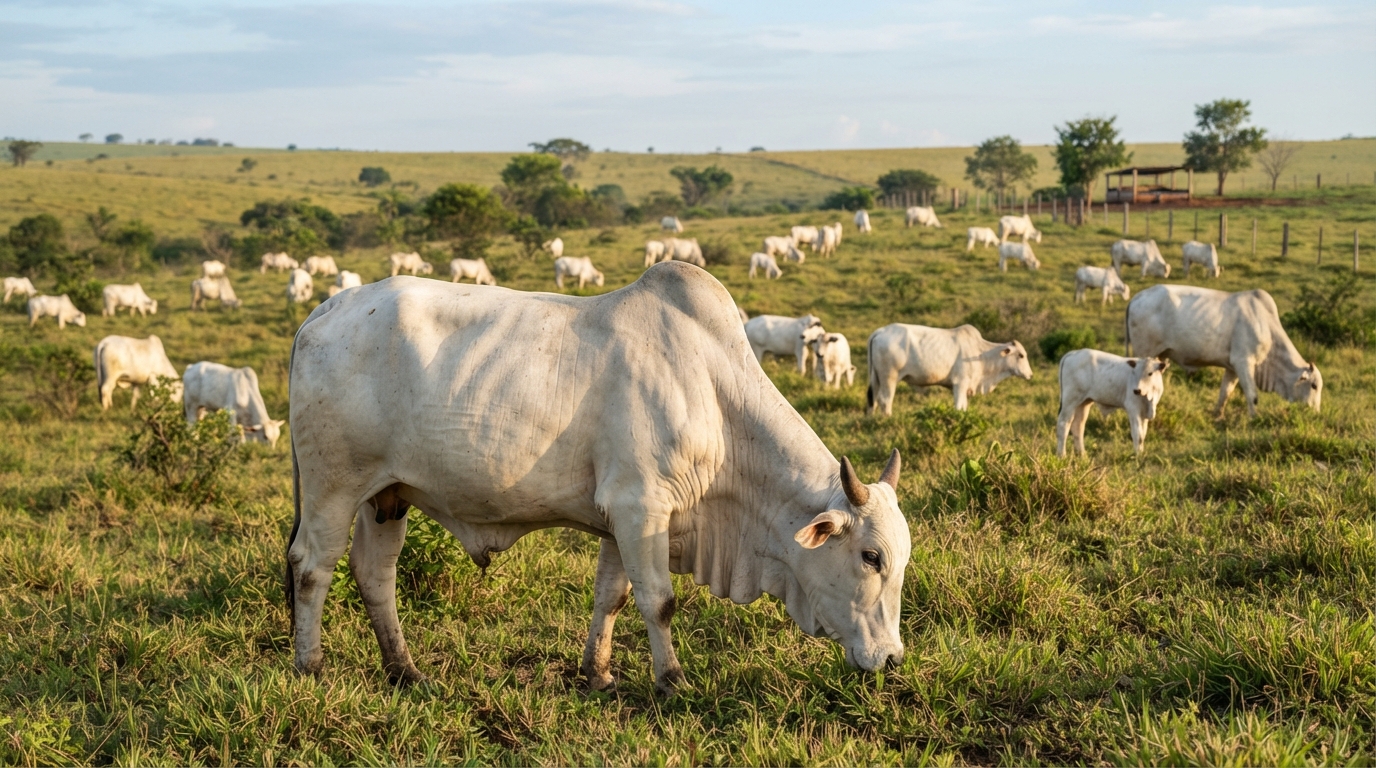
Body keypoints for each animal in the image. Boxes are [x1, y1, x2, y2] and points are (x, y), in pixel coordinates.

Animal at [285, 264, 910, 696]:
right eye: (871, 557)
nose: (892, 659)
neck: (714, 396)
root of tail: (325, 309)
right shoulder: (641, 506)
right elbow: (658, 601)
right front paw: (672, 680)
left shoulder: (622, 520)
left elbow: (612, 597)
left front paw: (599, 675)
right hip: (333, 487)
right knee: (311, 566)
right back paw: (311, 666)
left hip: (385, 496)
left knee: (375, 574)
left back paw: (404, 670)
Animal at [866, 324, 1033, 415]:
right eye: (1021, 355)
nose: (1030, 375)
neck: (981, 353)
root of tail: (880, 331)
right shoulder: (960, 384)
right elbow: (959, 407)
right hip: (889, 378)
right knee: (885, 400)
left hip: (877, 378)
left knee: (873, 400)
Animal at [1126, 285, 1322, 417]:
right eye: (1314, 386)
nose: (1315, 414)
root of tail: (1136, 297)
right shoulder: (1244, 362)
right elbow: (1252, 395)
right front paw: (1255, 418)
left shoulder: (1232, 368)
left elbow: (1225, 392)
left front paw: (1218, 415)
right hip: (1145, 353)